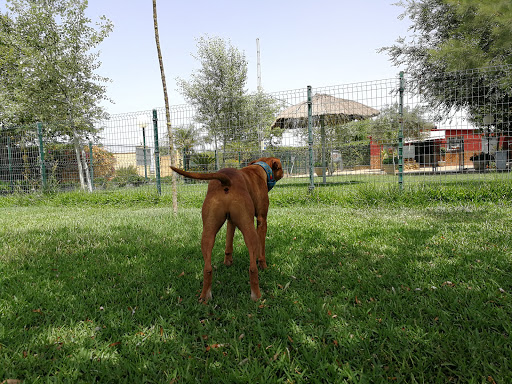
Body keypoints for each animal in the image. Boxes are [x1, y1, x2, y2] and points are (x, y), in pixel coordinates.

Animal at [172, 158, 284, 302]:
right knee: (252, 268)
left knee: (207, 268)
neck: (260, 169)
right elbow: (262, 251)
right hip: (250, 231)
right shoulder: (262, 221)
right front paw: (264, 266)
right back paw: (257, 295)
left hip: (208, 232)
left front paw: (228, 262)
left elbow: (228, 243)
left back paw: (205, 296)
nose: (283, 173)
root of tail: (226, 180)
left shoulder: (231, 221)